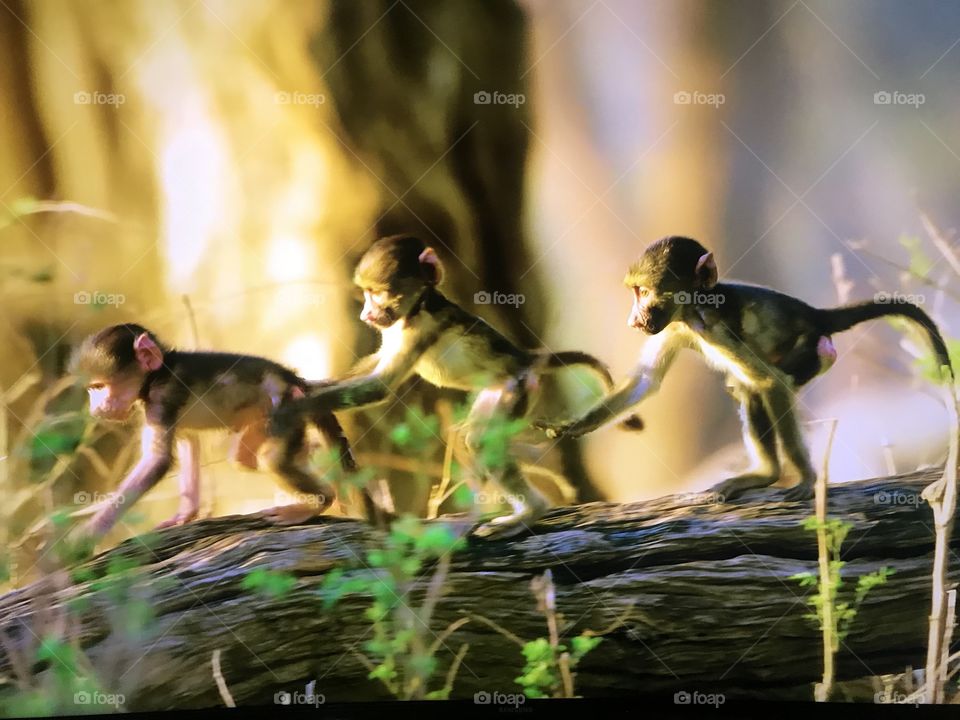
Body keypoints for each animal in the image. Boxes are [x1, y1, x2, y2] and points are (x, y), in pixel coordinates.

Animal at [69, 323, 380, 541]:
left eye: (99, 387)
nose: (96, 409)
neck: (158, 374)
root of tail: (295, 381)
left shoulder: (161, 398)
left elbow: (156, 462)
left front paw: (81, 541)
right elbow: (188, 443)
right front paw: (185, 514)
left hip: (284, 405)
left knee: (271, 459)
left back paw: (318, 501)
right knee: (245, 458)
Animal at [269, 234, 642, 539]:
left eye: (378, 293)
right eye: (366, 294)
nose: (366, 315)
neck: (418, 307)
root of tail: (524, 357)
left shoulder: (420, 330)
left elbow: (381, 386)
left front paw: (297, 404)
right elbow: (374, 368)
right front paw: (306, 385)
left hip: (516, 388)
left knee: (479, 439)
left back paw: (529, 513)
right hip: (496, 390)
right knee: (467, 438)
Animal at [537, 235, 955, 502]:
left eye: (642, 292)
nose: (632, 319)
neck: (694, 307)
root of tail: (815, 314)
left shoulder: (713, 325)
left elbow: (770, 381)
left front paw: (807, 478)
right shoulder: (675, 326)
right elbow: (646, 381)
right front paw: (570, 428)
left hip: (810, 351)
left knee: (762, 382)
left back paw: (772, 474)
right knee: (746, 388)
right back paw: (764, 473)